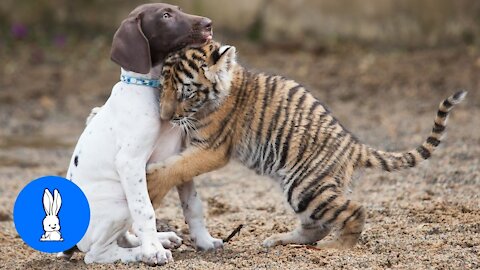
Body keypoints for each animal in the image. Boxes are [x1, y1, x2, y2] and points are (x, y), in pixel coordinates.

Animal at [60, 3, 223, 266]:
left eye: (178, 8)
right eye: (165, 16)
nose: (209, 23)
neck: (152, 90)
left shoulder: (180, 158)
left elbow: (193, 205)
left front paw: (205, 241)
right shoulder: (130, 162)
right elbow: (145, 211)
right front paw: (153, 251)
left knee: (123, 236)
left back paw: (160, 239)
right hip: (119, 204)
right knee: (97, 253)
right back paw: (142, 252)